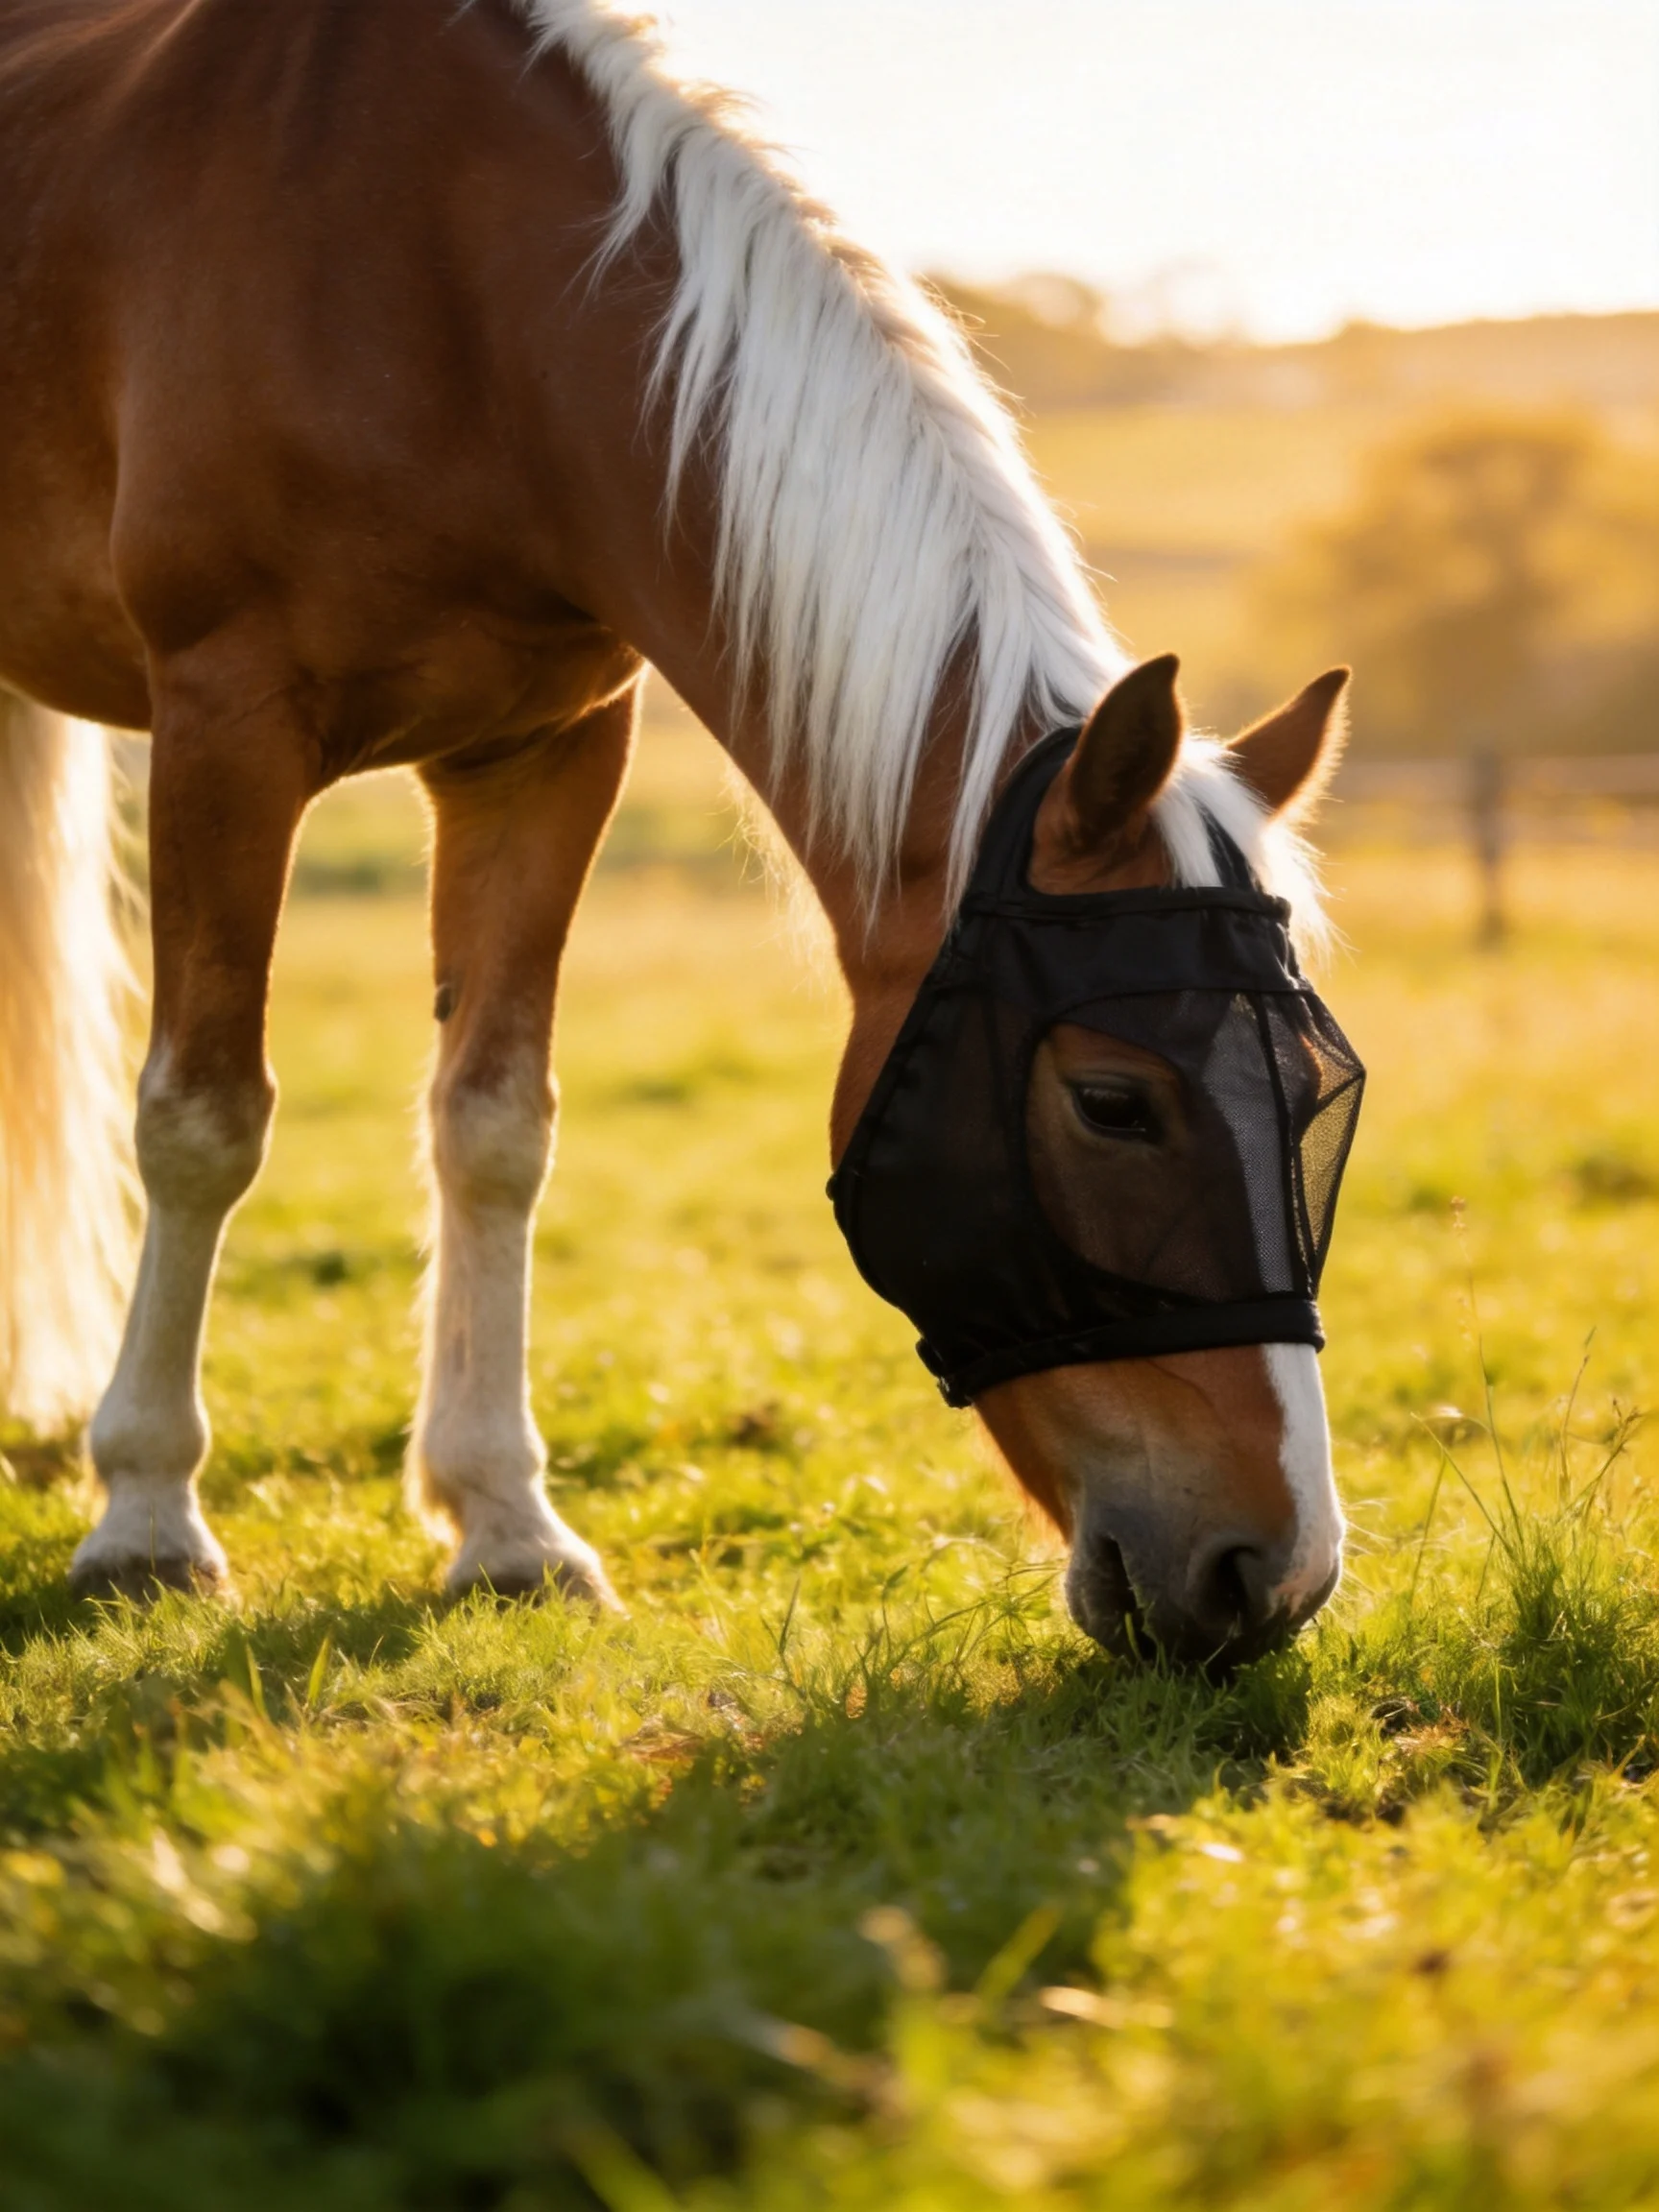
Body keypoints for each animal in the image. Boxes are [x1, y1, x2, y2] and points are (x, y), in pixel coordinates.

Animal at [0, 0, 1354, 1667]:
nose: (1274, 1575)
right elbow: (201, 1120)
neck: (443, 289)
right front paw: (144, 1516)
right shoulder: (225, 722)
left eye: (1316, 1095)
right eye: (1113, 1104)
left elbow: (495, 1124)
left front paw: (506, 1526)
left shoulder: (545, 754)